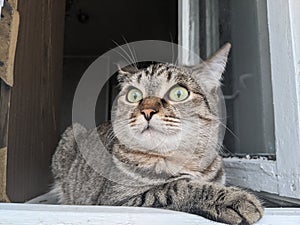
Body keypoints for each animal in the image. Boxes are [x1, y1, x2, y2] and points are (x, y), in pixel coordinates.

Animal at [52, 43, 264, 224]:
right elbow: (177, 187)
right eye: (134, 95)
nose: (147, 111)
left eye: (179, 93)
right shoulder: (117, 199)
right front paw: (233, 198)